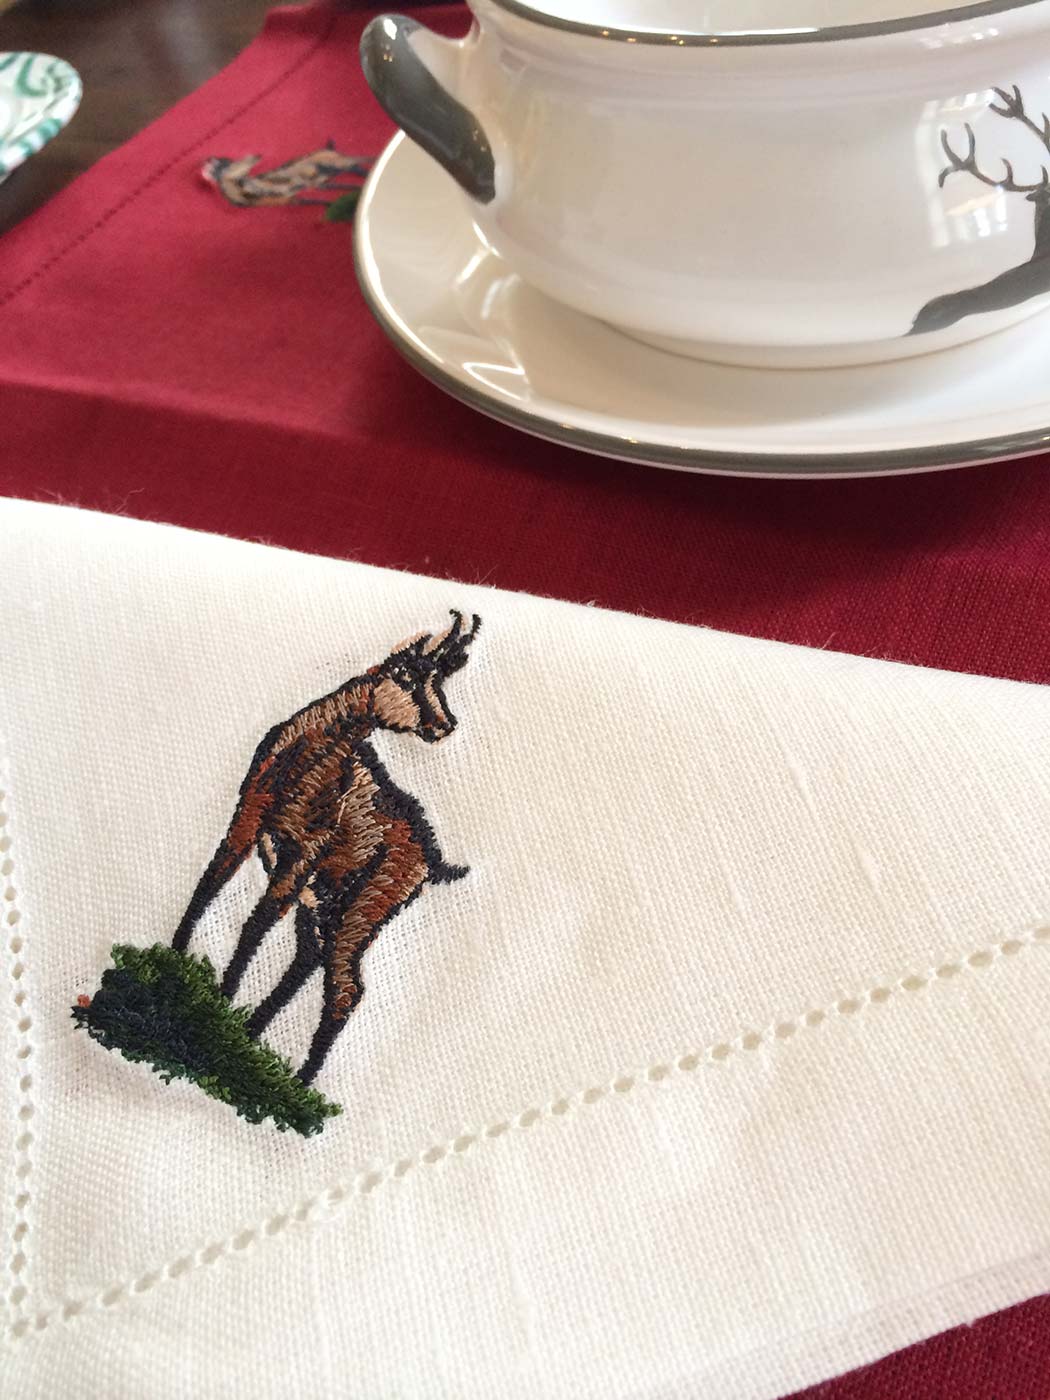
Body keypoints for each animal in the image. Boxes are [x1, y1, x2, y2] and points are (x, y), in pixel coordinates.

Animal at [170, 611, 480, 1086]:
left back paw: (296, 1078)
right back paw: (254, 1036)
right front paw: (175, 957)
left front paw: (218, 1001)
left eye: (441, 680)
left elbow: (256, 921)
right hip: (325, 902)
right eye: (407, 675)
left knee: (346, 987)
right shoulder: (247, 819)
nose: (444, 725)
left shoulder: (302, 854)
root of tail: (433, 862)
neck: (307, 752)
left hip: (362, 910)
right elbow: (210, 884)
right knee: (310, 958)